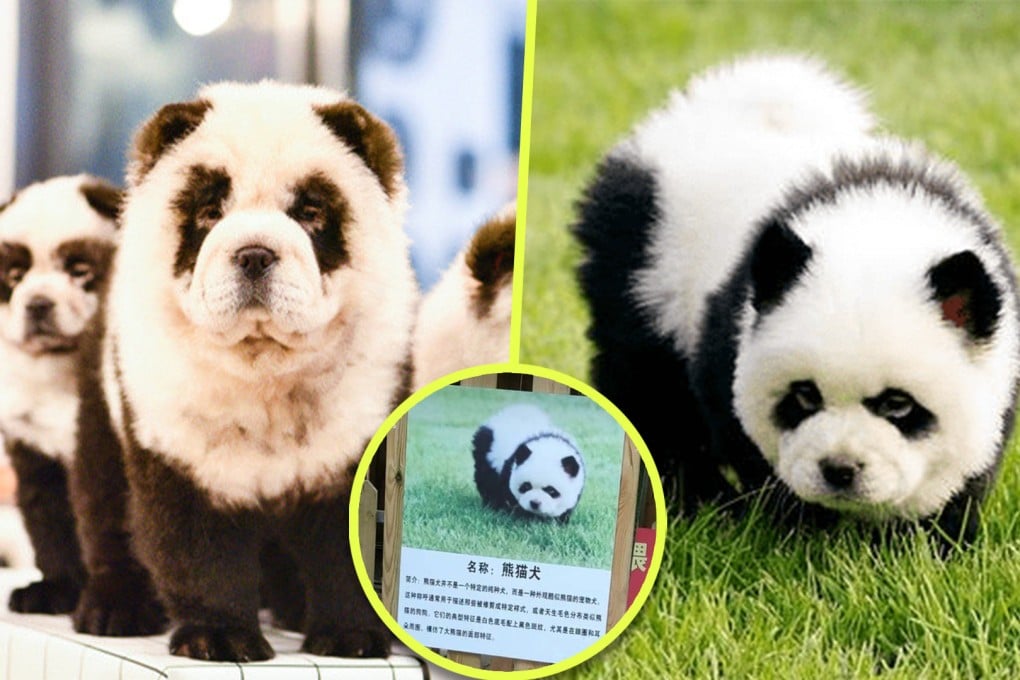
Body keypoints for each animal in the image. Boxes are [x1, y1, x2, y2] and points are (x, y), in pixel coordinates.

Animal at [0, 175, 120, 614]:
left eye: (79, 270)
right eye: (15, 277)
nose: (37, 304)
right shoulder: (36, 453)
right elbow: (51, 530)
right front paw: (55, 590)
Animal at [71, 81, 417, 661]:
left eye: (310, 212)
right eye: (210, 211)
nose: (254, 255)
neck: (264, 362)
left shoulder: (364, 414)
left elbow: (348, 544)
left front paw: (350, 635)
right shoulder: (175, 430)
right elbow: (198, 544)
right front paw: (220, 637)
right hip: (102, 406)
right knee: (105, 504)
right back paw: (114, 608)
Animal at [573, 54, 1020, 548]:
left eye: (898, 405)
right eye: (805, 395)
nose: (839, 470)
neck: (877, 226)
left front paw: (929, 541)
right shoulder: (730, 330)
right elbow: (745, 437)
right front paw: (800, 532)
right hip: (645, 268)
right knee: (649, 390)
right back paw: (691, 498)